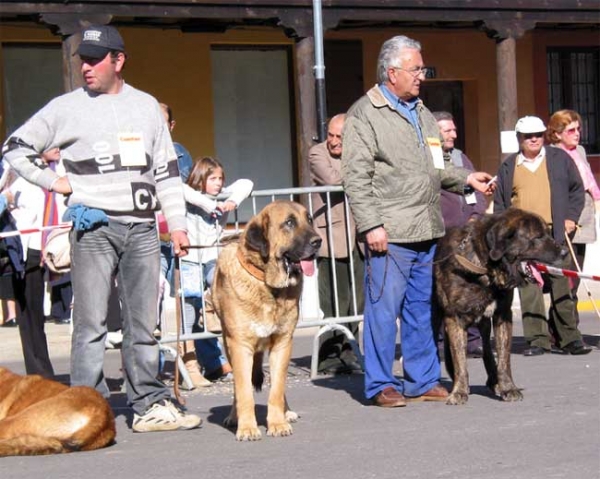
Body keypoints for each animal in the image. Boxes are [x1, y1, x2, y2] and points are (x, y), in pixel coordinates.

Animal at [212, 200, 324, 442]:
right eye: (289, 223)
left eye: (309, 220)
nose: (318, 241)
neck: (266, 284)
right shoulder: (239, 345)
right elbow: (244, 391)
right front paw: (246, 428)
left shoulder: (282, 343)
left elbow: (277, 390)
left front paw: (278, 423)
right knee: (238, 387)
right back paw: (234, 416)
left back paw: (286, 412)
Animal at [434, 209, 564, 404]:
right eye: (538, 237)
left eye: (548, 233)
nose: (565, 252)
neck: (486, 268)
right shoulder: (454, 318)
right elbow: (460, 359)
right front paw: (459, 390)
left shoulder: (502, 315)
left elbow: (504, 358)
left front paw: (508, 387)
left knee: (488, 350)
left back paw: (493, 380)